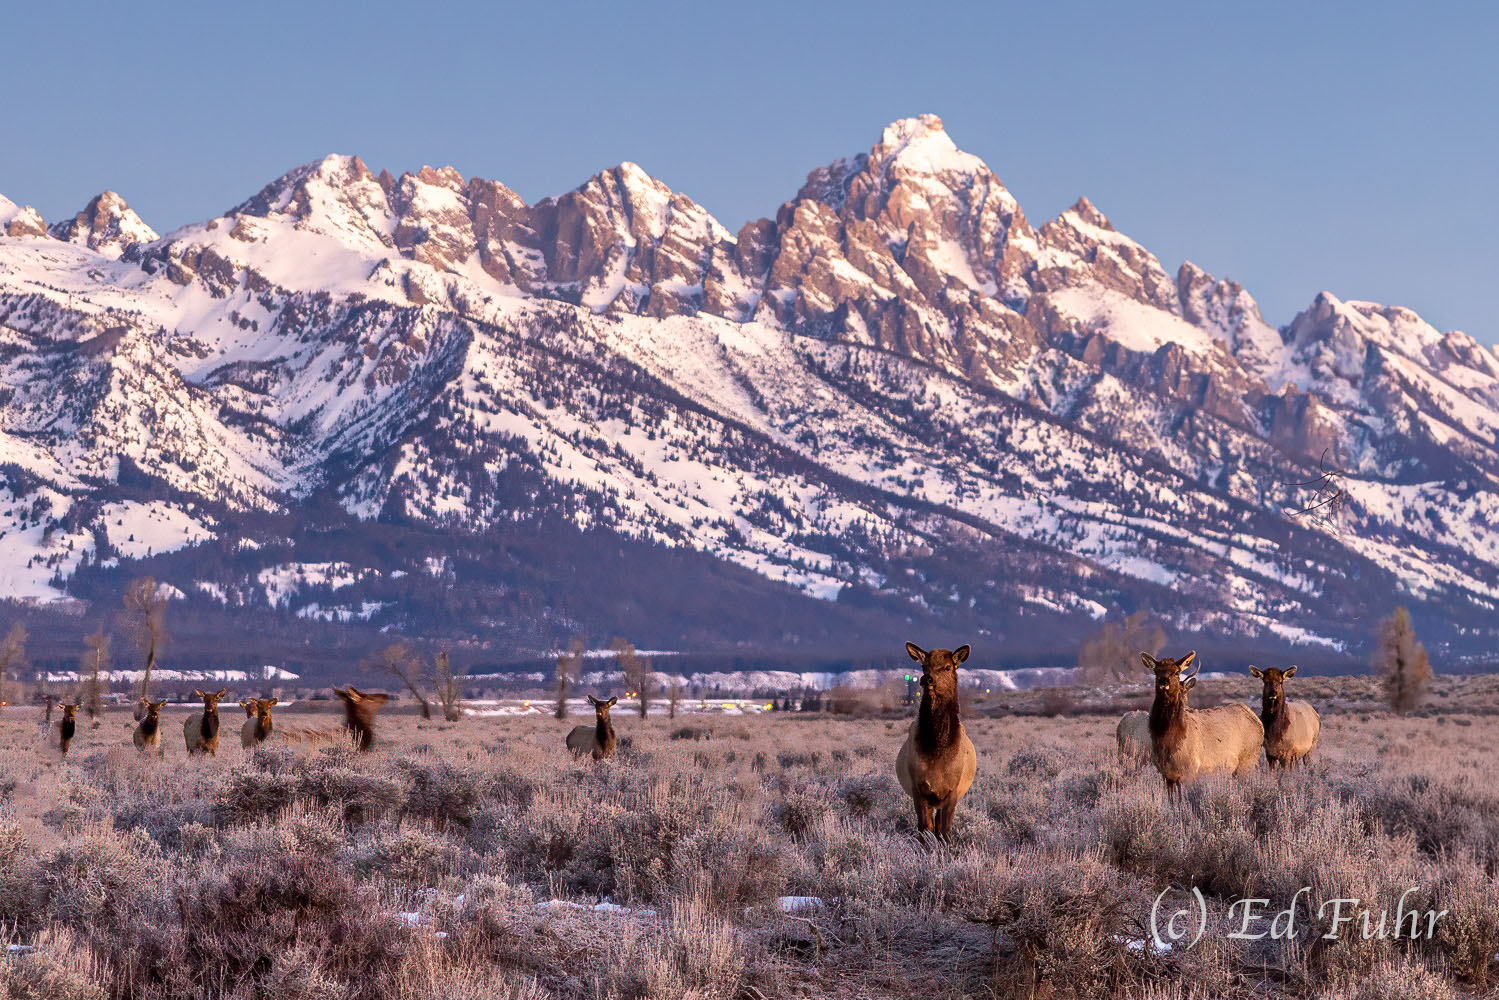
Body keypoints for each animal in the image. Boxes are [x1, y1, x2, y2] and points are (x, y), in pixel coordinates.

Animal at [895, 641, 978, 841]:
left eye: (948, 667)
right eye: (923, 666)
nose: (927, 679)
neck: (936, 750)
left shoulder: (952, 790)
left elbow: (945, 830)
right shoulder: (918, 788)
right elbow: (924, 828)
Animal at [1144, 651, 1263, 793]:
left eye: (1177, 672)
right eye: (1156, 671)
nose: (1164, 681)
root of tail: (1258, 721)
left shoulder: (1190, 770)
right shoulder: (1166, 774)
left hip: (1248, 760)